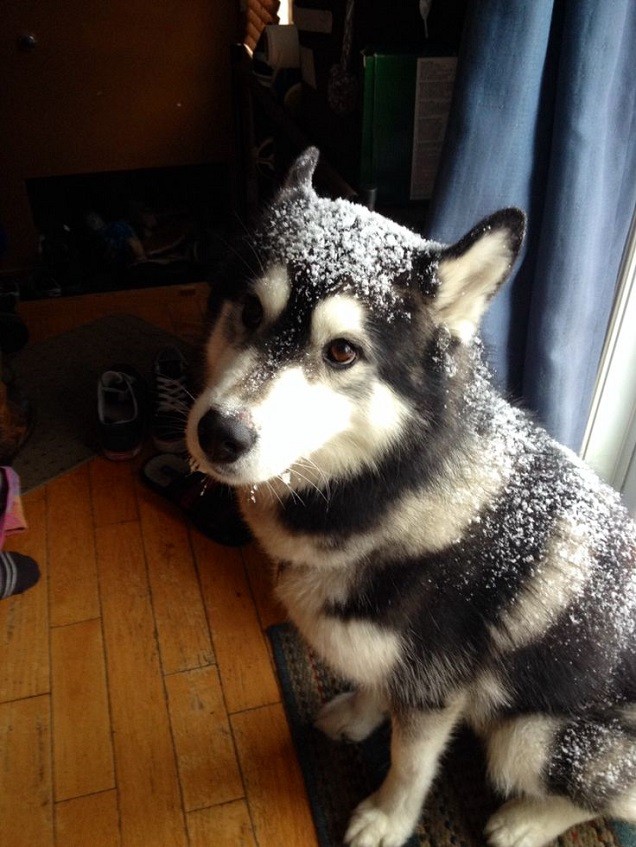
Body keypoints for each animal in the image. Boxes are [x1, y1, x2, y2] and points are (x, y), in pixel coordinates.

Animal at [188, 149, 636, 844]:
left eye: (342, 351)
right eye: (251, 313)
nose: (219, 434)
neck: (386, 488)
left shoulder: (435, 687)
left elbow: (410, 760)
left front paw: (387, 819)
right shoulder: (396, 663)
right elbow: (377, 685)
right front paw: (358, 714)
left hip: (534, 739)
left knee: (609, 794)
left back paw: (526, 821)